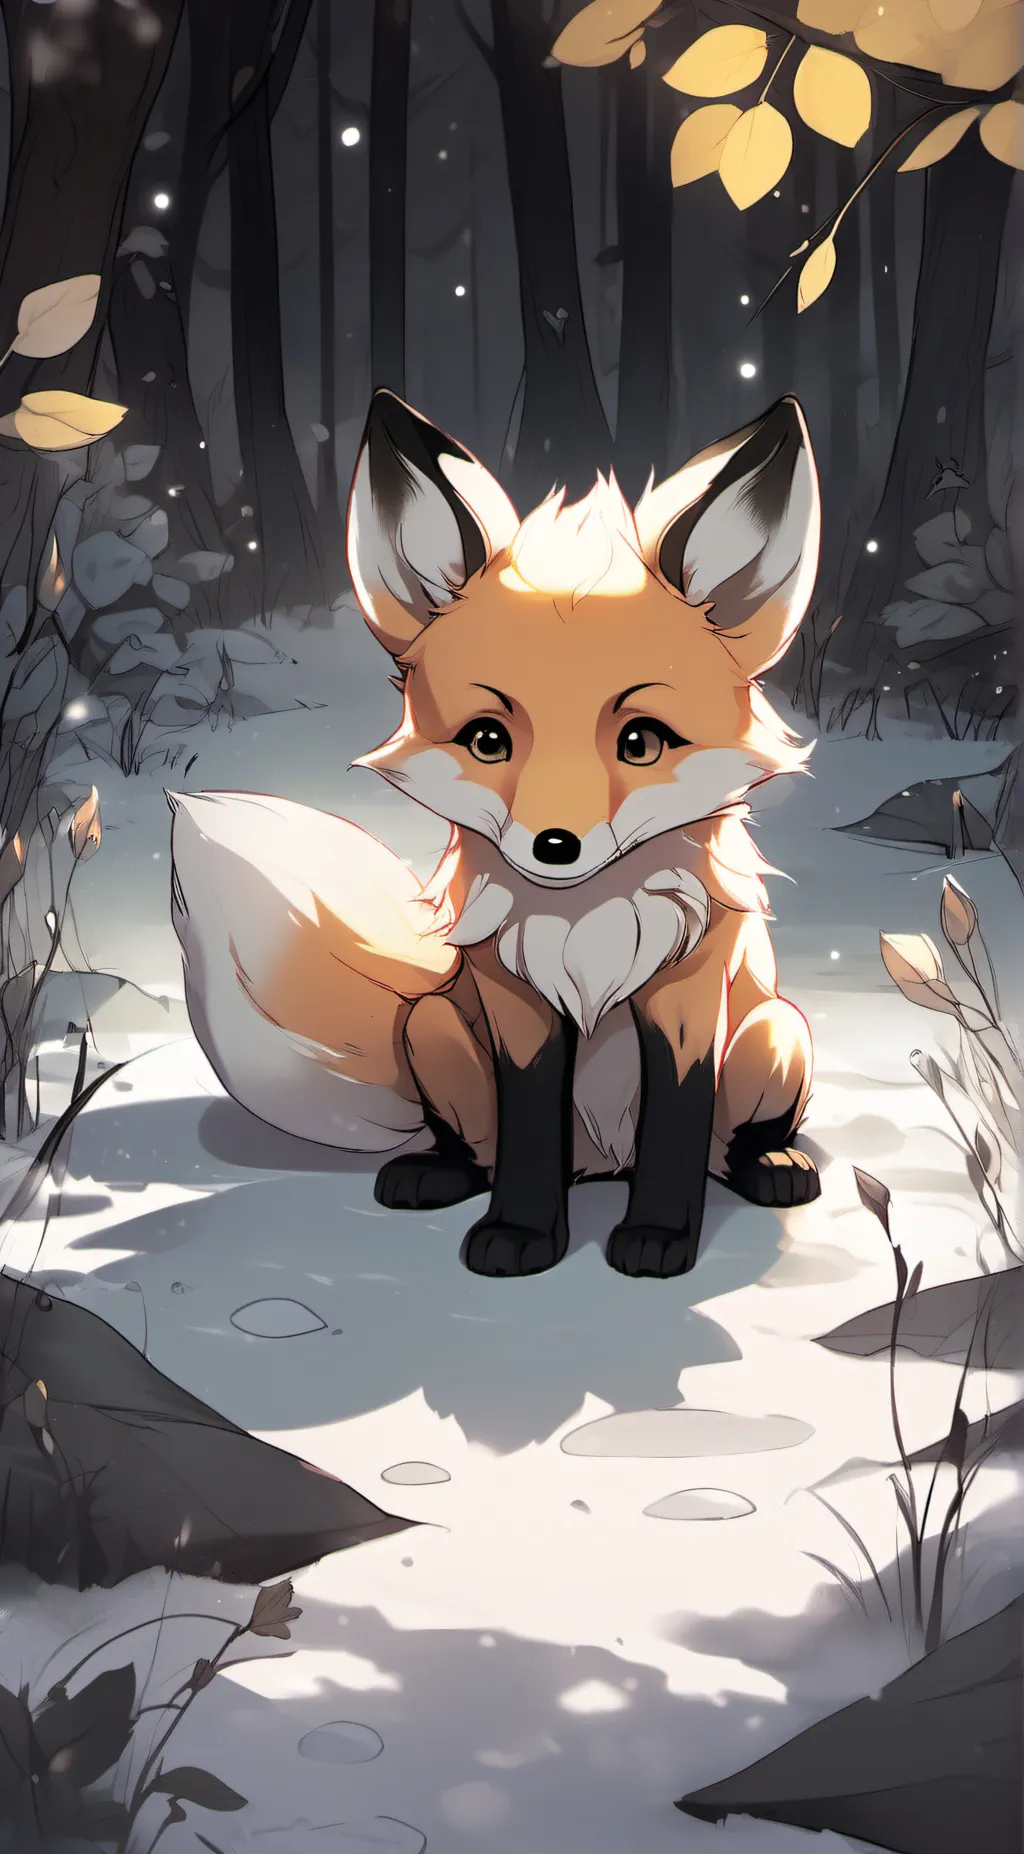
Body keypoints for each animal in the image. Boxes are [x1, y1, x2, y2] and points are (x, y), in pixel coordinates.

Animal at [169, 387, 822, 1282]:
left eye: (641, 742)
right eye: (487, 740)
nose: (556, 845)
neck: (588, 929)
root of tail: (601, 1165)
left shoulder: (687, 1002)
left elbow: (678, 1128)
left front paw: (658, 1238)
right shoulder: (516, 1003)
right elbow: (525, 1131)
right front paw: (520, 1234)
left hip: (775, 1032)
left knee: (730, 1147)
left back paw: (774, 1166)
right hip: (431, 1026)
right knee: (475, 1146)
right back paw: (434, 1173)